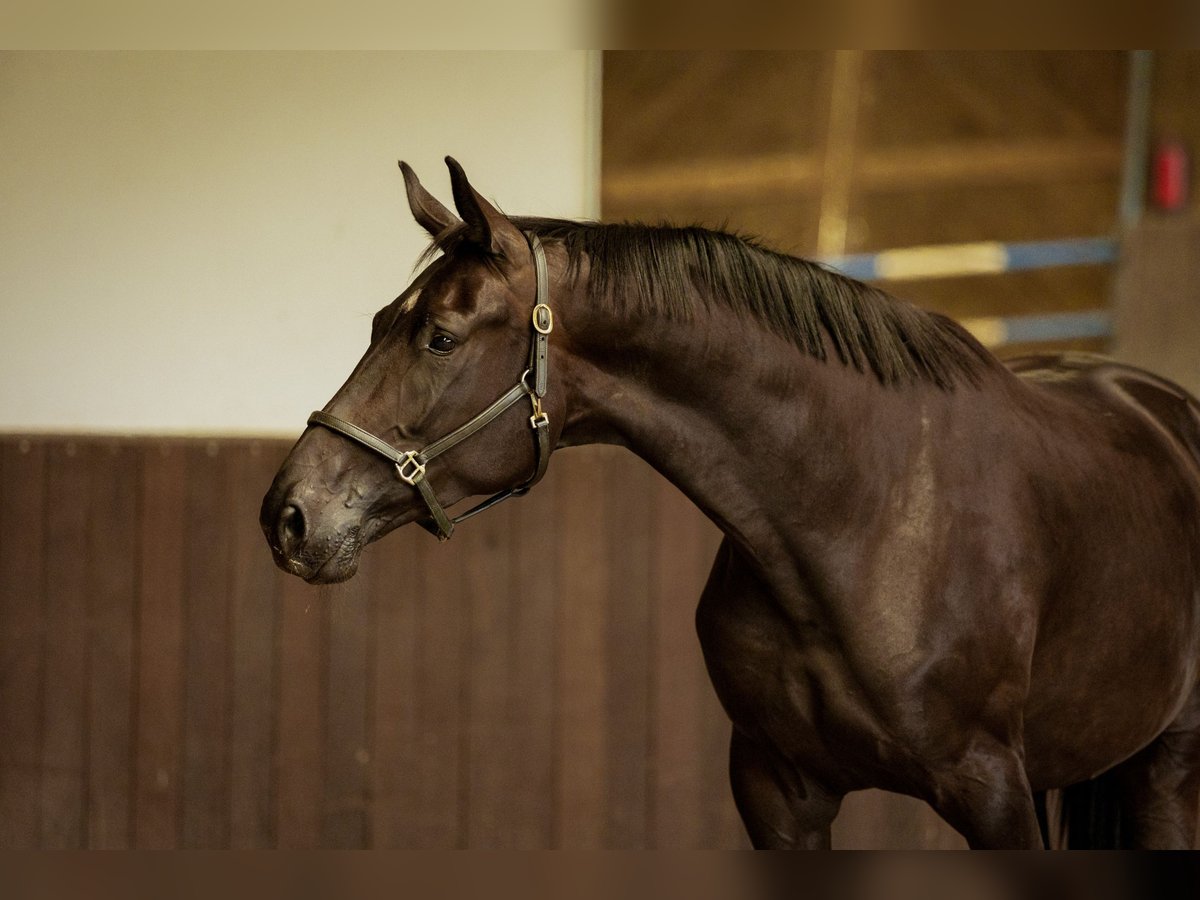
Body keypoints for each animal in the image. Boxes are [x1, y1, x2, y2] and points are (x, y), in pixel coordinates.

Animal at [262, 158, 1200, 849]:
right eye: (379, 321)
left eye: (440, 338)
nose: (289, 514)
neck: (863, 515)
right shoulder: (776, 791)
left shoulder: (993, 791)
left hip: (1169, 767)